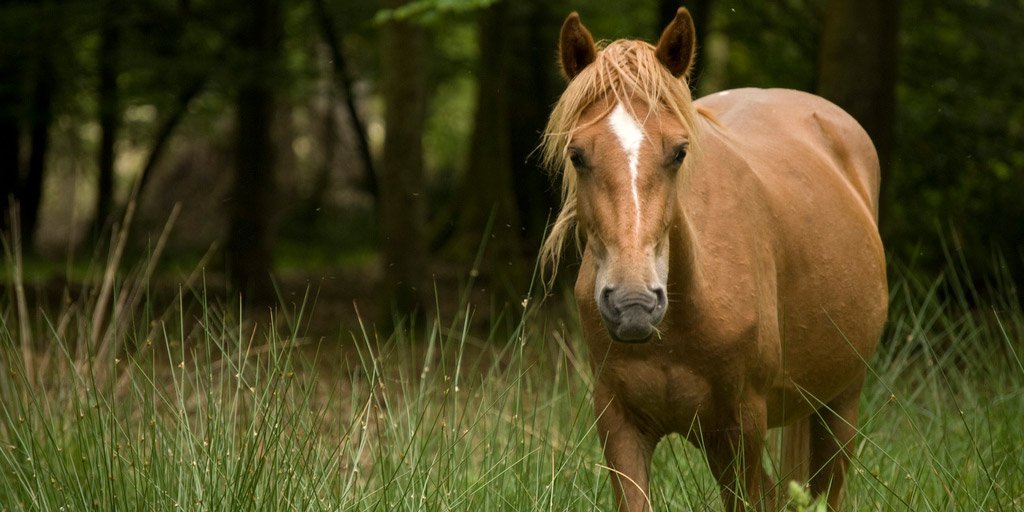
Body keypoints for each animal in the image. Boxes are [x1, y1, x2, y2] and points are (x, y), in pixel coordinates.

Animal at [544, 9, 888, 512]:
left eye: (679, 152)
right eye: (577, 154)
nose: (633, 304)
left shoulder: (741, 427)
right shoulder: (619, 424)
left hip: (839, 404)